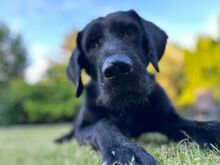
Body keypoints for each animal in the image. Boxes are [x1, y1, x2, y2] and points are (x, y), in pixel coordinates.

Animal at [56, 10, 220, 164]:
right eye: (92, 45)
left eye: (129, 32)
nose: (116, 68)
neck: (126, 108)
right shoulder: (83, 128)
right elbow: (102, 124)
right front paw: (124, 150)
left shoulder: (169, 120)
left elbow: (197, 125)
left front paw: (212, 128)